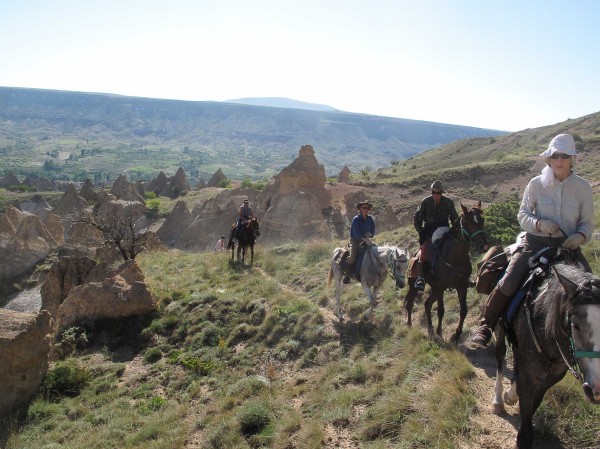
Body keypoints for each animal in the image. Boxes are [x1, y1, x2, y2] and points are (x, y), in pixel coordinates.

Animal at [404, 201, 488, 342]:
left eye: (482, 220)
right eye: (468, 222)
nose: (484, 245)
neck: (455, 259)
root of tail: (413, 255)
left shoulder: (461, 287)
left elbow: (463, 310)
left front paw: (456, 334)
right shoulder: (440, 287)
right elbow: (441, 311)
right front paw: (440, 333)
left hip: (434, 289)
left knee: (427, 304)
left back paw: (430, 330)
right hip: (415, 286)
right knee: (410, 303)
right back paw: (410, 325)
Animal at [490, 260, 600, 448]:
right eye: (575, 325)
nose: (597, 389)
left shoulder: (551, 379)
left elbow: (533, 404)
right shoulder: (529, 377)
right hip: (500, 326)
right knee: (500, 356)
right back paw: (498, 401)